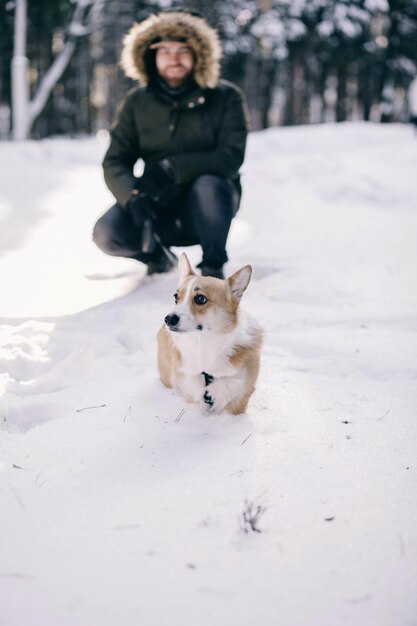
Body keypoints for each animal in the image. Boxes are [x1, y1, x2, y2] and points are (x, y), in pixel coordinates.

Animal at [158, 251, 262, 412]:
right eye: (176, 297)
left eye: (200, 298)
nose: (168, 319)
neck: (205, 345)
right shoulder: (193, 394)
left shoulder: (239, 401)